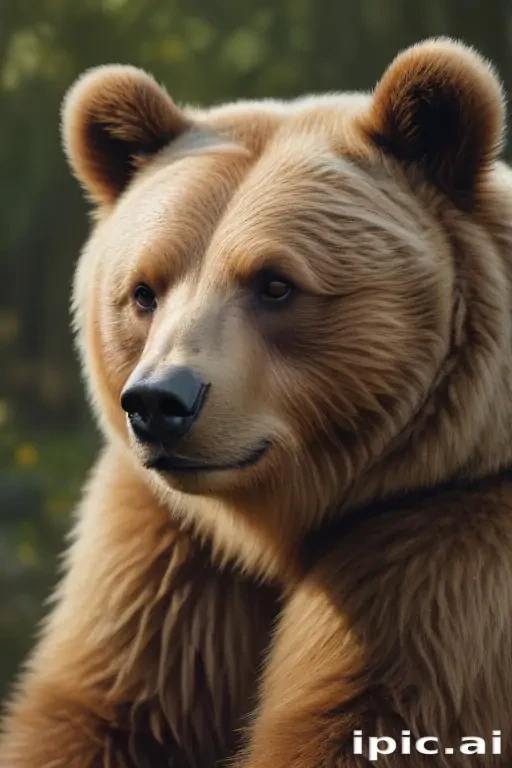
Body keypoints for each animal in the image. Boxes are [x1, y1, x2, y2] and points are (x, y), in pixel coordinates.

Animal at [2, 36, 512, 767]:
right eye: (143, 290)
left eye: (275, 284)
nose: (160, 402)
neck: (273, 524)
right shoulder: (166, 557)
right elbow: (99, 712)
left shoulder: (443, 551)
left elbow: (375, 719)